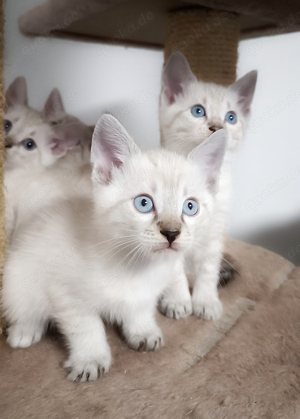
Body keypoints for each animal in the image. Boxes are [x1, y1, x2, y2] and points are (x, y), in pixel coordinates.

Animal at [2, 113, 227, 382]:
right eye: (144, 203)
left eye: (190, 207)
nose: (172, 233)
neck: (136, 266)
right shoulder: (65, 293)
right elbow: (87, 327)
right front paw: (90, 359)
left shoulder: (146, 292)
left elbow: (139, 309)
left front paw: (142, 331)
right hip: (18, 276)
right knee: (24, 304)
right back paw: (25, 330)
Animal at [159, 52, 258, 322]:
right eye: (198, 111)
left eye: (231, 117)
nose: (217, 127)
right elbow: (174, 268)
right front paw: (178, 300)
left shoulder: (215, 230)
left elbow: (208, 269)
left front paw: (206, 301)